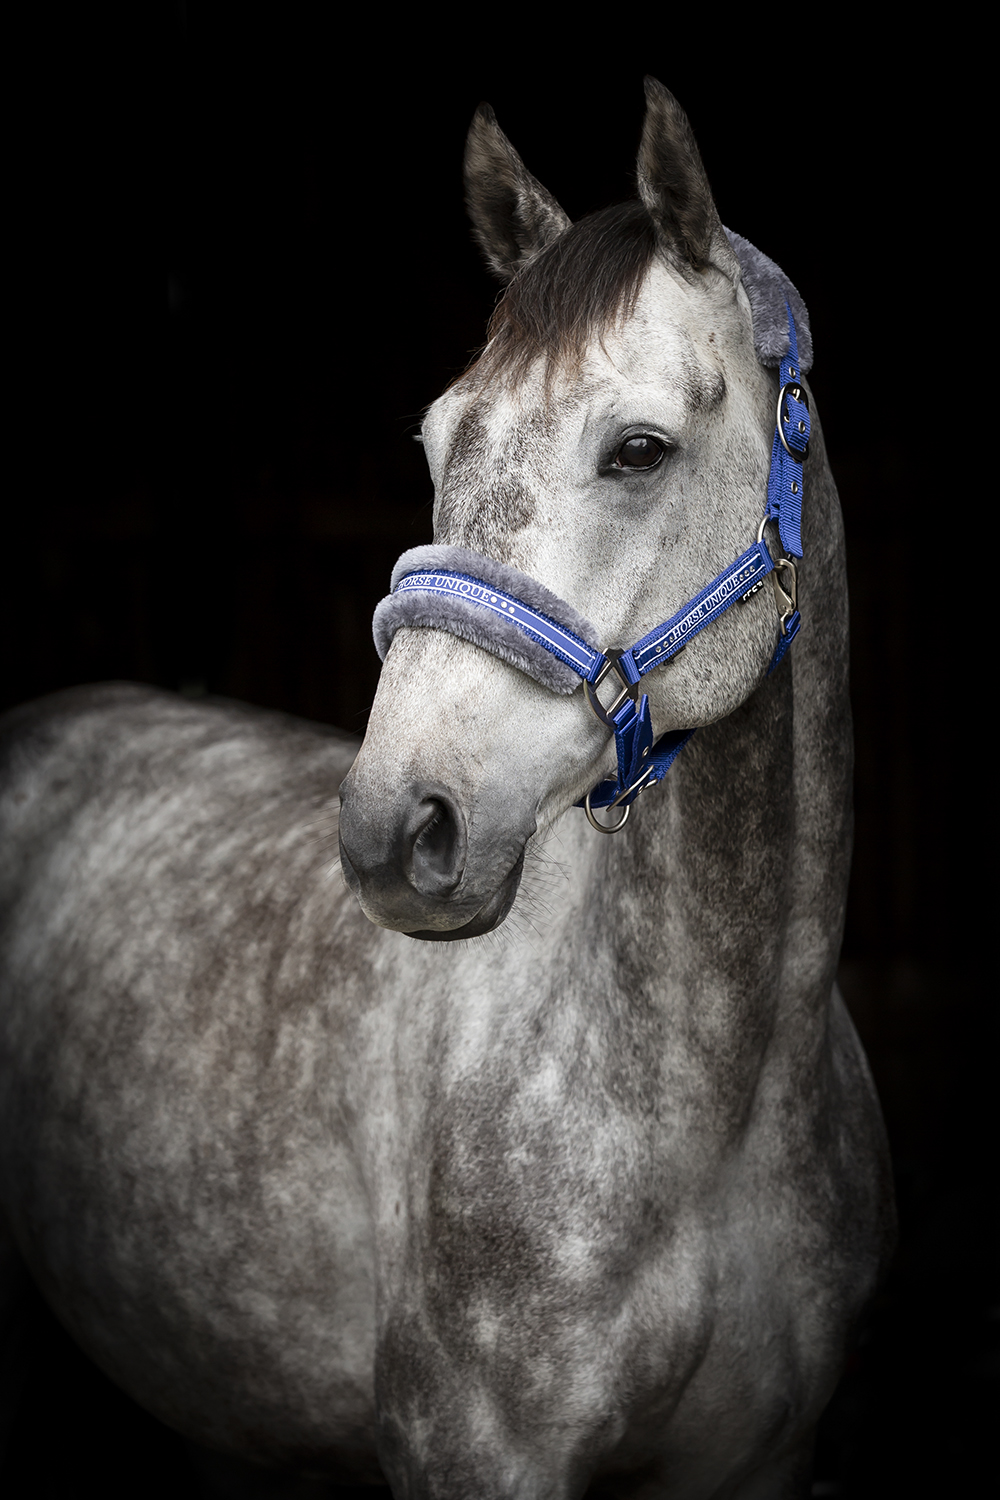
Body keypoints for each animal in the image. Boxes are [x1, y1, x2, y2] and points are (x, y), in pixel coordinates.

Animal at [0, 79, 894, 1498]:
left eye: (638, 449)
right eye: (433, 442)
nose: (395, 830)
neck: (722, 1105)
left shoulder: (760, 1462)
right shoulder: (475, 1452)